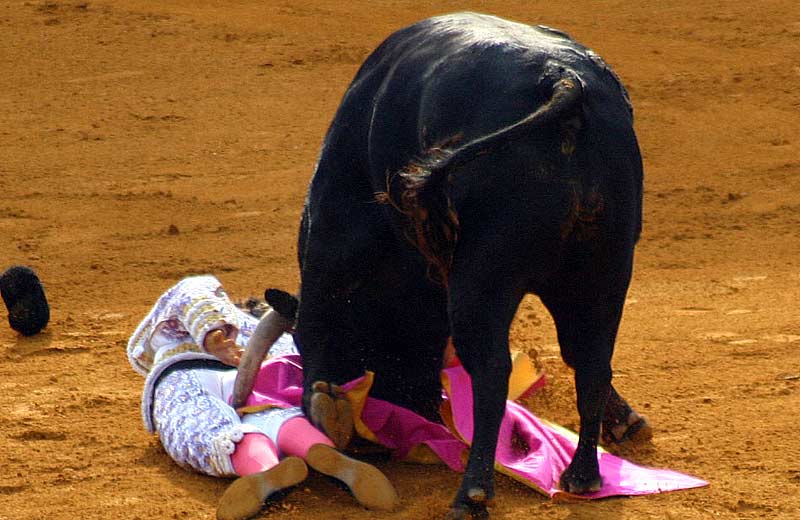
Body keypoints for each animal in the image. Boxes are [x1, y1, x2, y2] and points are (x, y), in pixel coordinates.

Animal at [294, 13, 644, 520]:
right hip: (607, 272)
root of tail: (563, 83)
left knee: (494, 371)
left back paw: (473, 491)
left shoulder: (331, 251)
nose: (408, 409)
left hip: (484, 279)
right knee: (592, 359)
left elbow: (320, 318)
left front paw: (323, 406)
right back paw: (583, 475)